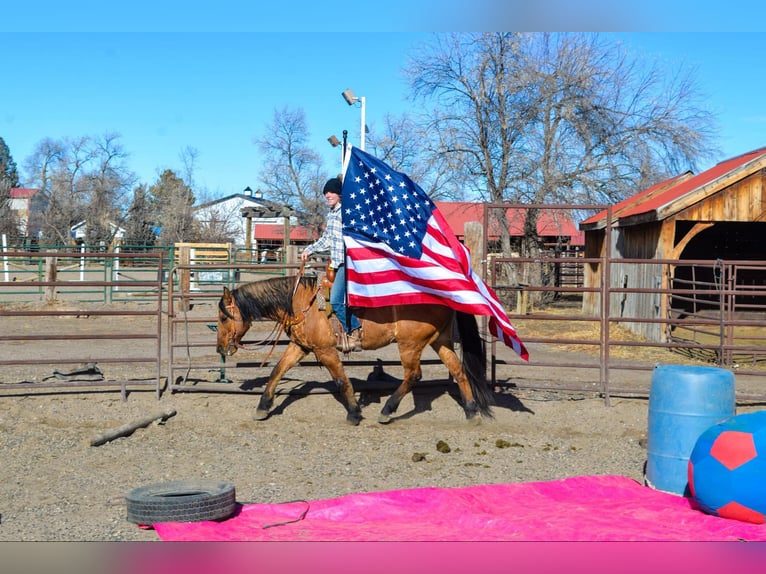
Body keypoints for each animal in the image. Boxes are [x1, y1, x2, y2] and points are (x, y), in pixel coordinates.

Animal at [218, 272, 492, 426]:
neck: (301, 302)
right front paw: (262, 407)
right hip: (439, 340)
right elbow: (277, 371)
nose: (221, 349)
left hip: (410, 344)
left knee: (413, 375)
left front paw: (353, 413)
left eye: (222, 317)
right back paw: (471, 412)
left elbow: (341, 381)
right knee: (458, 371)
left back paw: (387, 410)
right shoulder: (301, 346)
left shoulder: (325, 350)